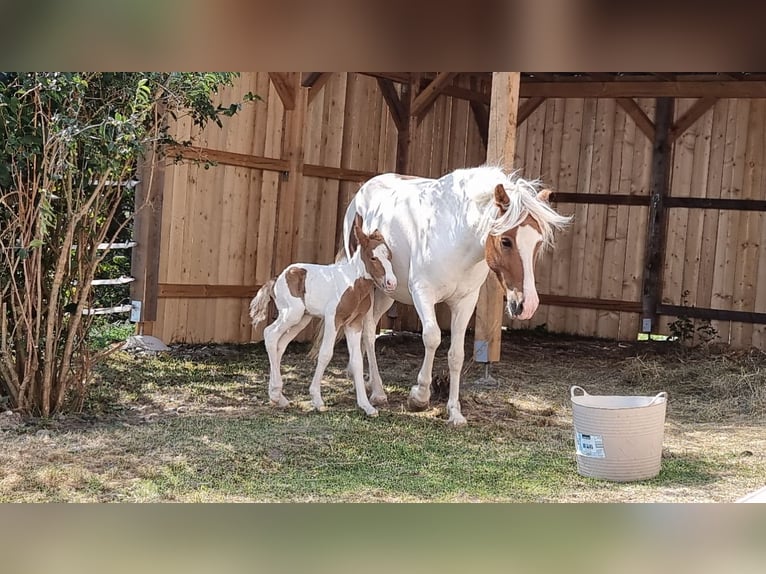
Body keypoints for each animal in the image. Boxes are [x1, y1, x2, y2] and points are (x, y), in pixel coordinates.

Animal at [250, 216, 400, 418]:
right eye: (373, 257)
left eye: (389, 256)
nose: (392, 283)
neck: (352, 283)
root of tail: (276, 279)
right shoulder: (333, 319)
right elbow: (325, 354)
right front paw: (317, 400)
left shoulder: (354, 324)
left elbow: (357, 361)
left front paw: (367, 406)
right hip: (291, 313)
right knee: (270, 334)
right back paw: (275, 393)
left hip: (302, 319)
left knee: (280, 344)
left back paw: (279, 397)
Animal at [344, 166, 572, 428]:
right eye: (506, 241)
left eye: (538, 243)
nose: (528, 305)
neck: (455, 235)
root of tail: (363, 191)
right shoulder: (423, 292)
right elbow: (432, 338)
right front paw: (419, 396)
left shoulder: (465, 302)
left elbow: (457, 355)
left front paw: (455, 412)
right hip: (370, 287)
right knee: (368, 332)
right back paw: (378, 391)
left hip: (387, 291)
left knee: (369, 329)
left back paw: (366, 380)